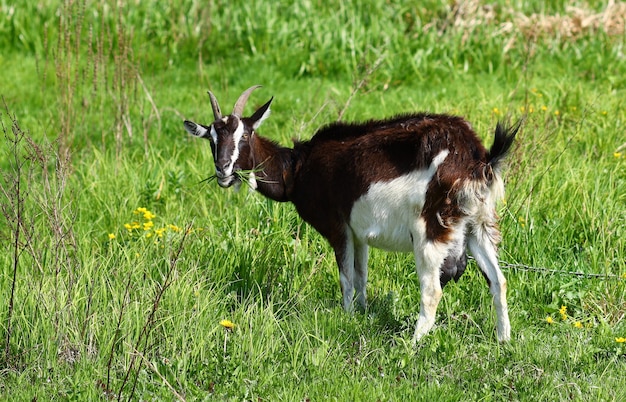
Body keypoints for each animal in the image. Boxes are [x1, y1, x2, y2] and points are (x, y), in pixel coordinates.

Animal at [184, 86, 516, 344]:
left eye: (245, 135)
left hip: (430, 229)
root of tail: (476, 156)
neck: (297, 168)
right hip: (478, 225)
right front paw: (362, 313)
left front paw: (347, 316)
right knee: (498, 281)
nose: (223, 170)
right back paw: (504, 340)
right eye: (211, 139)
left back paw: (412, 344)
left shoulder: (338, 226)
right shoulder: (359, 234)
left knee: (432, 289)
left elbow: (345, 277)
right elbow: (361, 276)